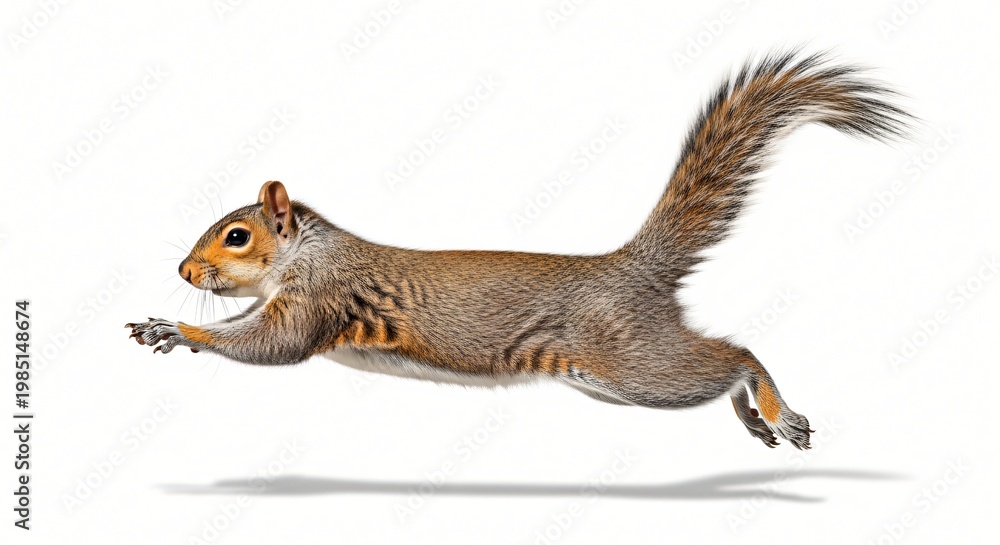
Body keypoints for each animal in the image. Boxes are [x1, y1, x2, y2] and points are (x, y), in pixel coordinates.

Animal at [127, 52, 910, 449]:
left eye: (237, 235)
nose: (182, 270)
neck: (306, 252)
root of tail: (630, 268)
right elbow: (247, 329)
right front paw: (166, 323)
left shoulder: (320, 295)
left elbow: (271, 343)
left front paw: (181, 328)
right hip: (612, 377)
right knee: (722, 366)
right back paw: (753, 416)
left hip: (633, 362)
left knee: (736, 356)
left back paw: (776, 408)